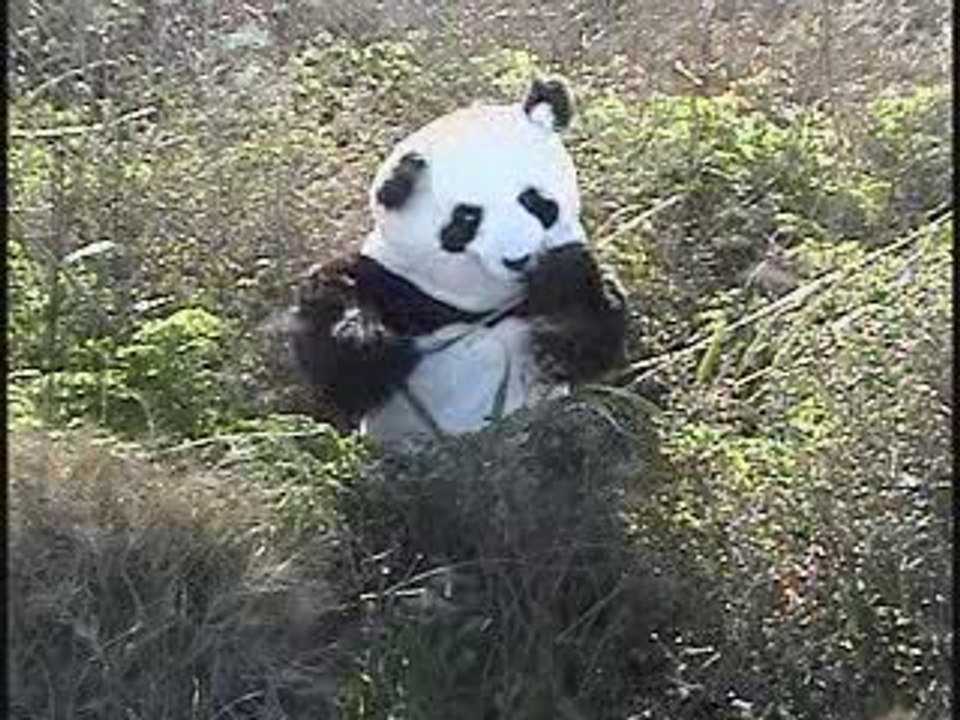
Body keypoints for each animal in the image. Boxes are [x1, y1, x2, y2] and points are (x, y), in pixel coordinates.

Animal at [288, 78, 627, 447]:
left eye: (533, 200)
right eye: (467, 218)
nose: (519, 259)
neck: (481, 308)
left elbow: (595, 339)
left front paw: (558, 286)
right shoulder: (395, 285)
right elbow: (346, 377)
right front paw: (358, 332)